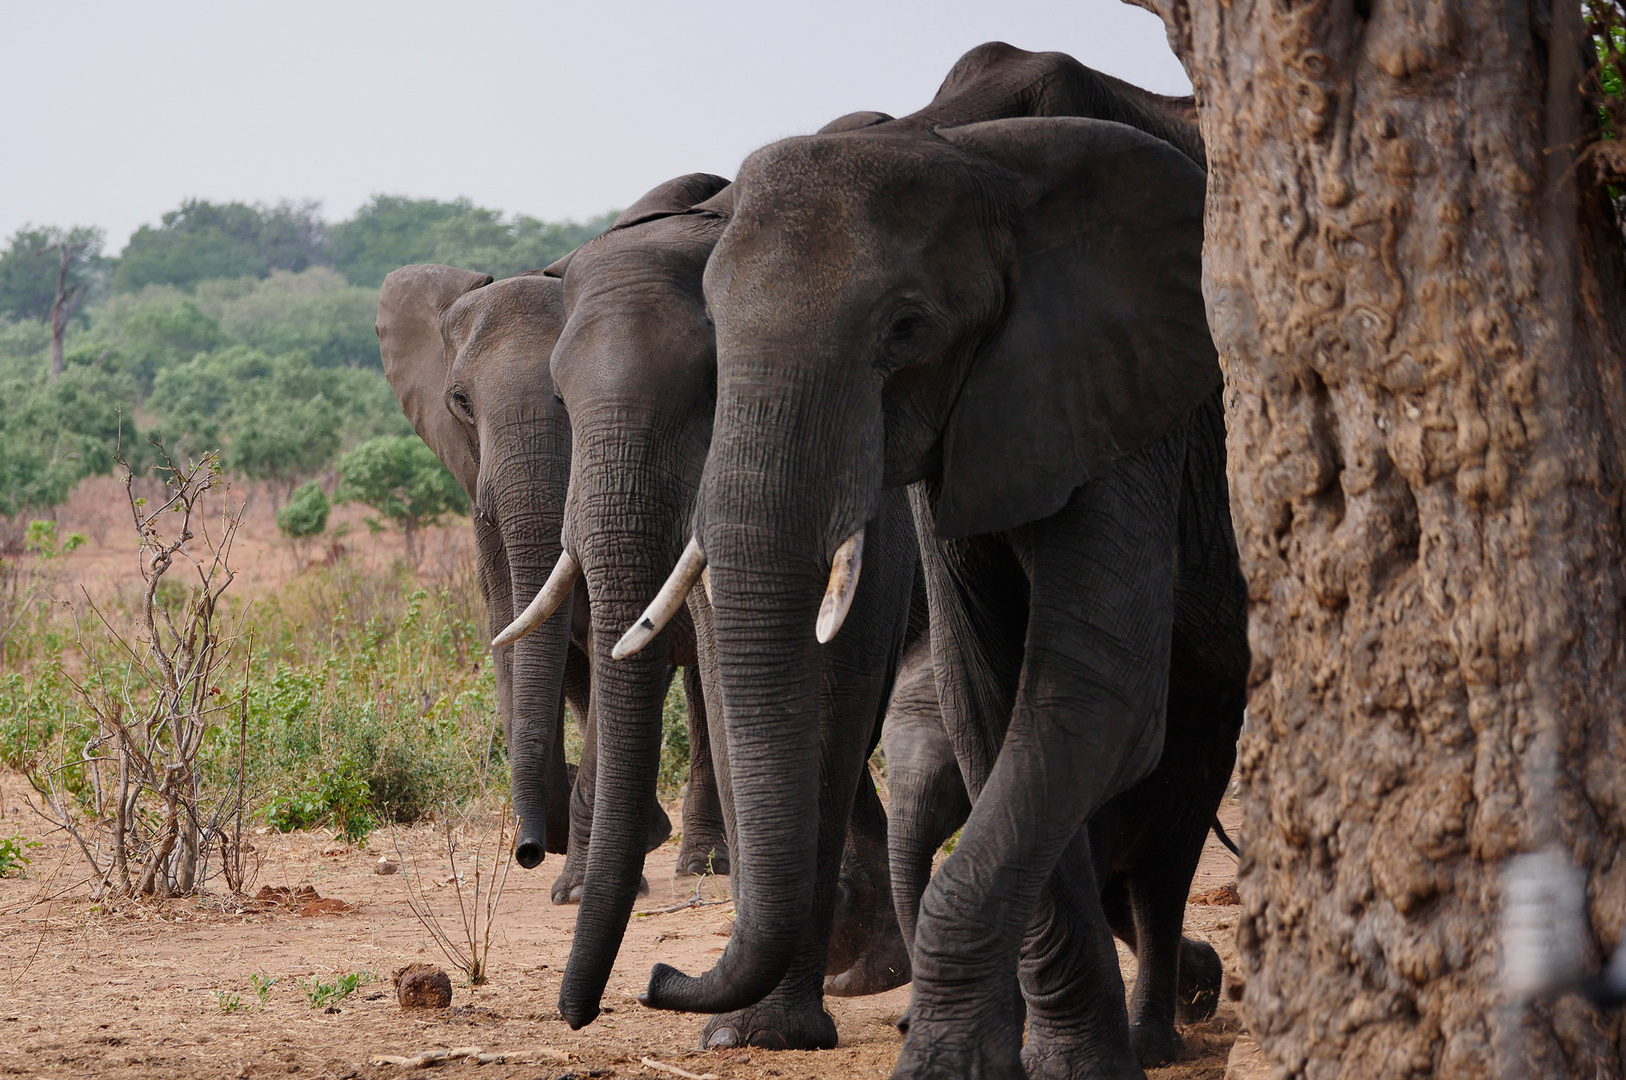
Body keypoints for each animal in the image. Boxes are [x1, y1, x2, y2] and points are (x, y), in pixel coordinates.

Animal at [378, 268, 725, 904]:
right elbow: (516, 638)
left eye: (570, 399)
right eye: (460, 401)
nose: (529, 851)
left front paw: (579, 888)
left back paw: (702, 862)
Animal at [634, 46, 1242, 1080]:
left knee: (1174, 816)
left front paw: (966, 1063)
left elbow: (1096, 701)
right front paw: (1039, 1058)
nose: (659, 977)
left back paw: (1163, 1037)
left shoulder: (1129, 382)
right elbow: (991, 702)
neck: (975, 153)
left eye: (905, 330)